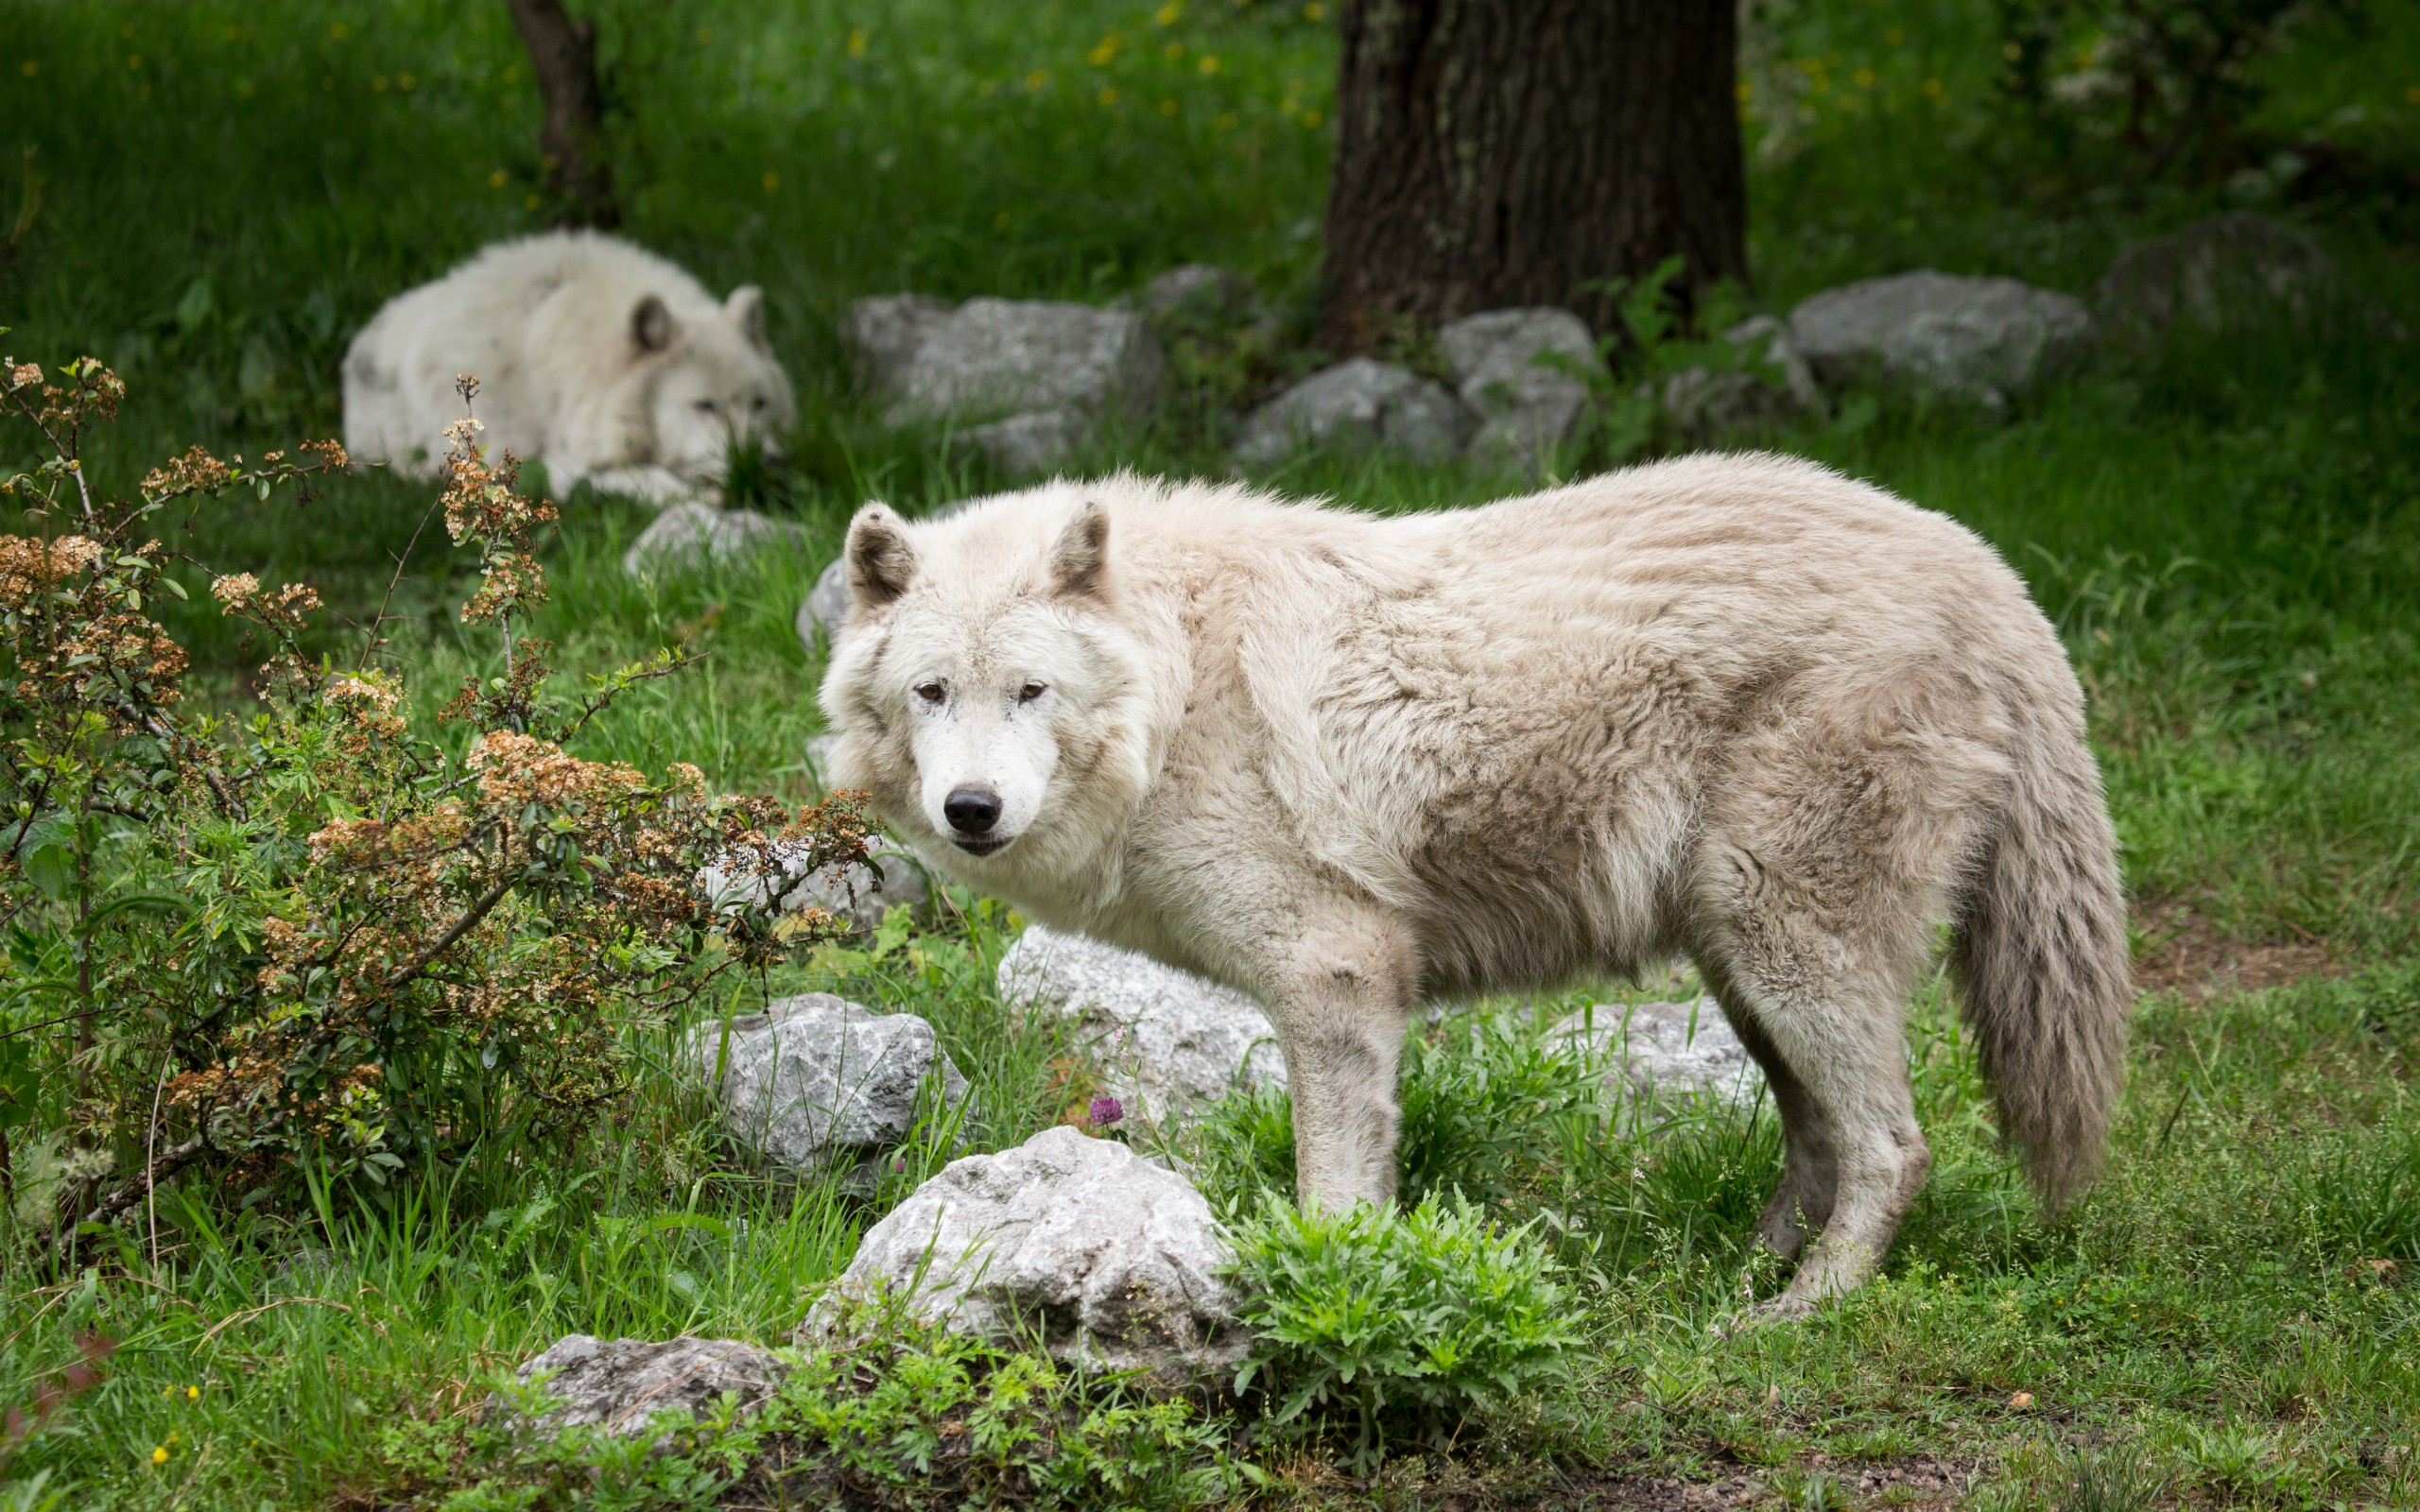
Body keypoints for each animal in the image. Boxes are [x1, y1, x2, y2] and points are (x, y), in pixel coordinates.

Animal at [822, 455, 2129, 1315]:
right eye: (932, 691)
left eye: (1030, 692)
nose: (972, 809)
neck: (1178, 684)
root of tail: (1993, 578)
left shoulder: (1337, 977)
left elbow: (1337, 1193)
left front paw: (1333, 1299)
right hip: (1741, 962)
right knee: (1818, 1140)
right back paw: (1735, 1278)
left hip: (1786, 947)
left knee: (1894, 1148)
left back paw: (1799, 1312)